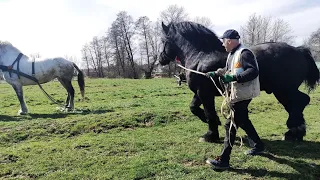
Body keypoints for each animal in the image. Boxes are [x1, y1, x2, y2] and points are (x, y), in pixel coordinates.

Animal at [160, 20, 320, 142]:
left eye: (163, 40)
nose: (161, 59)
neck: (201, 56)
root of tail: (299, 50)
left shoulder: (204, 93)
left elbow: (208, 112)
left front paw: (210, 135)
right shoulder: (200, 92)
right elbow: (193, 107)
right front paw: (213, 122)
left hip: (284, 90)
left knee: (298, 103)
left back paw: (293, 131)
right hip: (284, 91)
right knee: (299, 103)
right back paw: (295, 132)